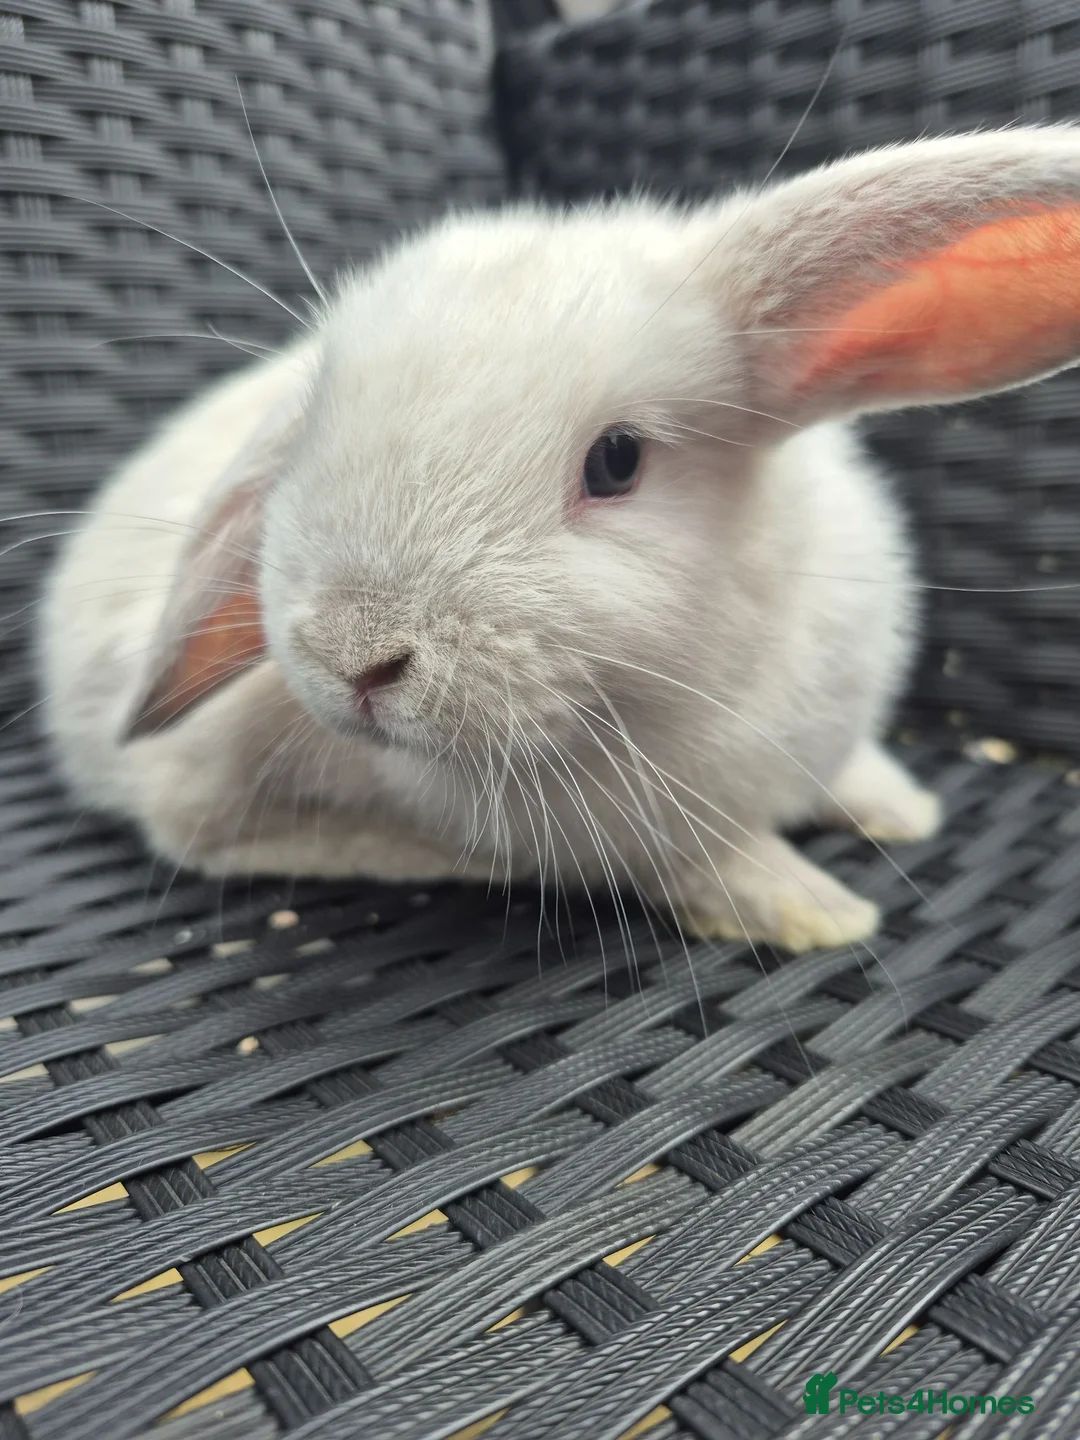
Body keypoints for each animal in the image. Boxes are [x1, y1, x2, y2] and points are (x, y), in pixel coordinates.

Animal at [40, 127, 1080, 953]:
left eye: (616, 461)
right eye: (310, 429)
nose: (354, 656)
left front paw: (902, 806)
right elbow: (703, 860)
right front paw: (812, 909)